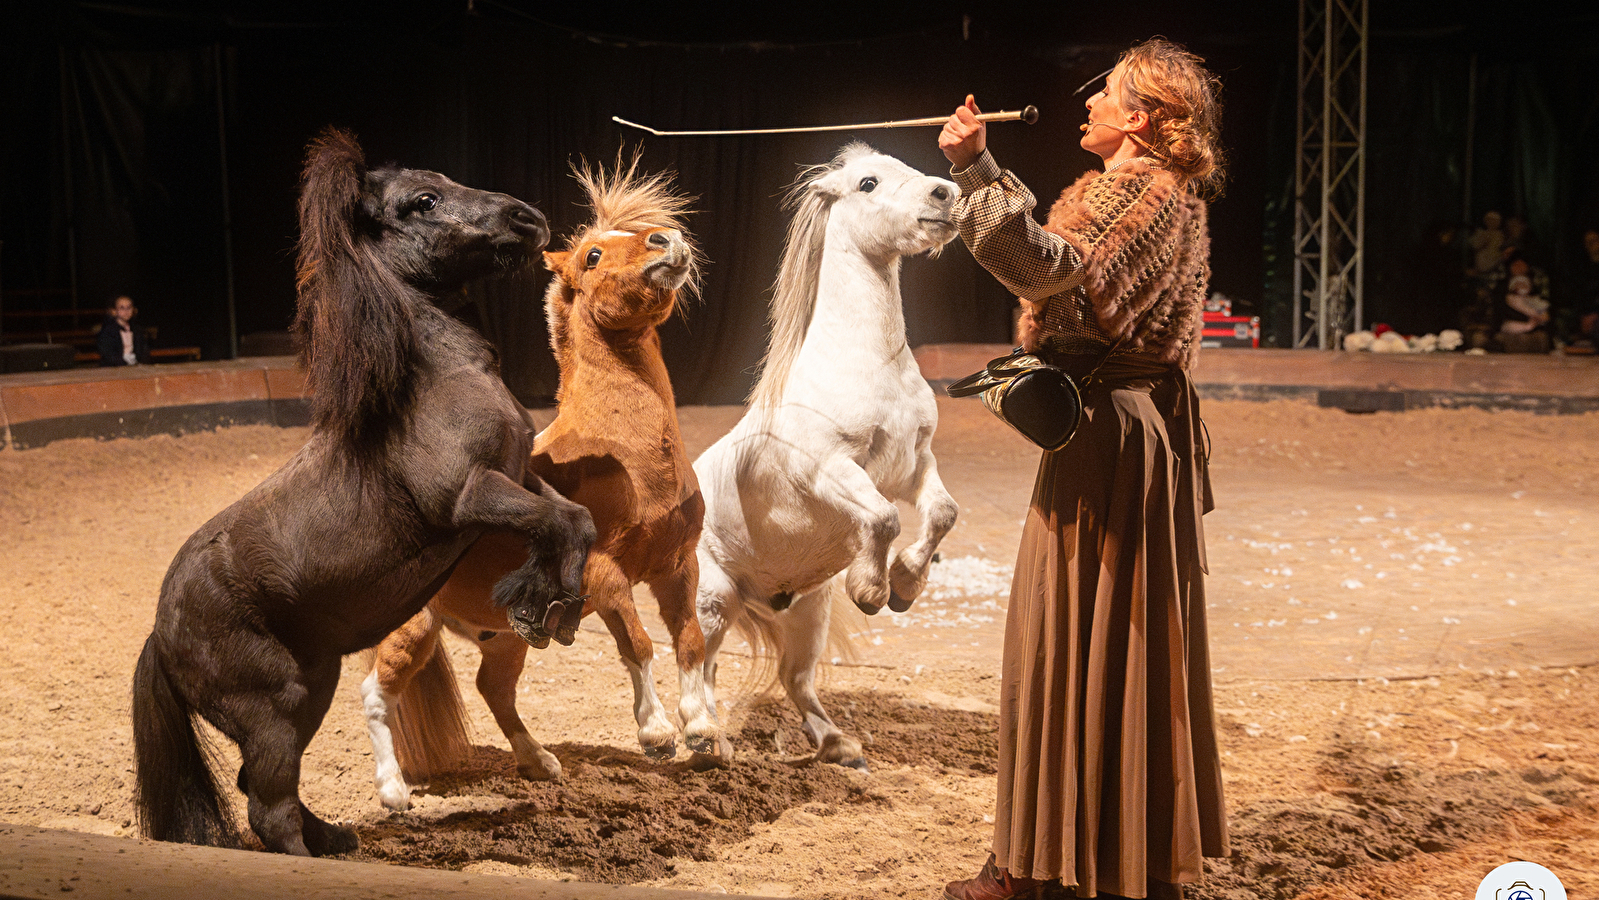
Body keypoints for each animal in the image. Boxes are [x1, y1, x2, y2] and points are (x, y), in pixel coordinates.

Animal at [129, 128, 594, 856]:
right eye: (421, 200)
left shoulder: (519, 474)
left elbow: (575, 517)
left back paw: (336, 837)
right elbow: (560, 522)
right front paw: (542, 609)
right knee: (267, 808)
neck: (436, 382)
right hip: (276, 708)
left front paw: (545, 605)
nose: (527, 218)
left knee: (264, 789)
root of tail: (160, 632)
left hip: (308, 695)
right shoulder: (471, 496)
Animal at [359, 158, 729, 812]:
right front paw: (658, 732)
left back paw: (539, 762)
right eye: (592, 255)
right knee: (377, 693)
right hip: (413, 627)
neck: (632, 461)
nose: (665, 241)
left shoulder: (676, 568)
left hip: (504, 636)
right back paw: (393, 789)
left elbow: (687, 642)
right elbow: (638, 644)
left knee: (493, 690)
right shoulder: (605, 574)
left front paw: (703, 730)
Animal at [697, 144, 959, 770]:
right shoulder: (832, 471)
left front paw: (906, 585)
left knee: (794, 678)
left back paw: (839, 745)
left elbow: (940, 513)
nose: (945, 193)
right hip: (712, 599)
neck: (867, 362)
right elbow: (883, 519)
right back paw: (706, 740)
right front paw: (873, 591)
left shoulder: (914, 466)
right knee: (698, 667)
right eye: (868, 183)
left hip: (805, 610)